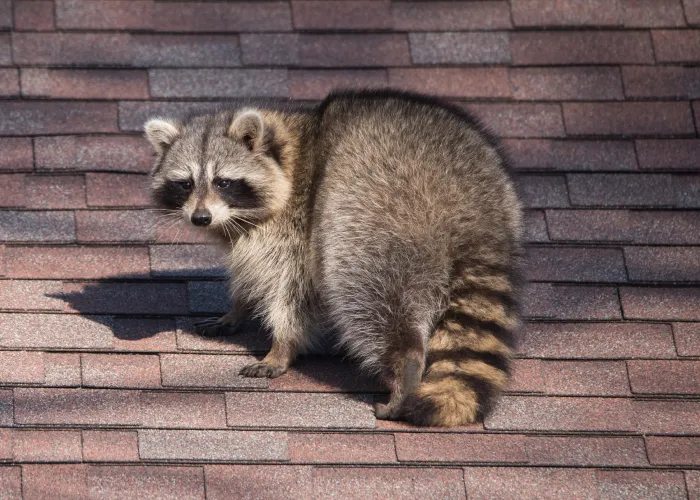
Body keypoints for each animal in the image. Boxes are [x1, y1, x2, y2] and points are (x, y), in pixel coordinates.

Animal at [145, 90, 522, 426]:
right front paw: (238, 308)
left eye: (223, 182)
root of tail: (470, 204)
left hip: (374, 212)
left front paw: (282, 345)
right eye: (185, 183)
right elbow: (249, 272)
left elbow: (293, 290)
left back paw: (405, 365)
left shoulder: (296, 226)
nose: (200, 218)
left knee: (366, 289)